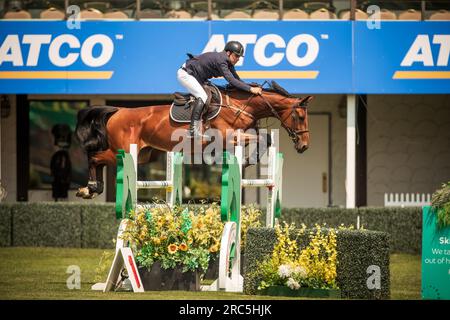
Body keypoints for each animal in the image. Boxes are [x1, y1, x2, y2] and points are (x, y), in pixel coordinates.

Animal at [74, 81, 312, 199]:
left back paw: (93, 188)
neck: (239, 105)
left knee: (99, 159)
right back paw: (89, 188)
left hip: (142, 156)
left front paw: (248, 161)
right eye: (300, 116)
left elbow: (265, 139)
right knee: (94, 157)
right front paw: (246, 161)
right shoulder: (228, 137)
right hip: (123, 150)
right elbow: (260, 139)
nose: (304, 146)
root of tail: (118, 111)